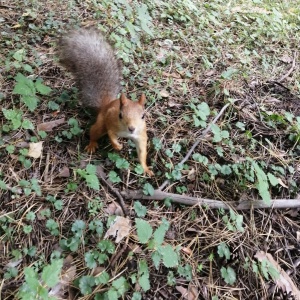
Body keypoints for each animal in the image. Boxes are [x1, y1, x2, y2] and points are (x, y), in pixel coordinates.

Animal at [57, 27, 154, 176]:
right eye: (120, 115)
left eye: (143, 116)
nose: (132, 128)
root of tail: (106, 105)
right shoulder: (111, 121)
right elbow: (111, 134)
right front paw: (117, 146)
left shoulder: (141, 134)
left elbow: (142, 151)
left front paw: (146, 168)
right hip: (100, 123)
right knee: (94, 132)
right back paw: (92, 144)